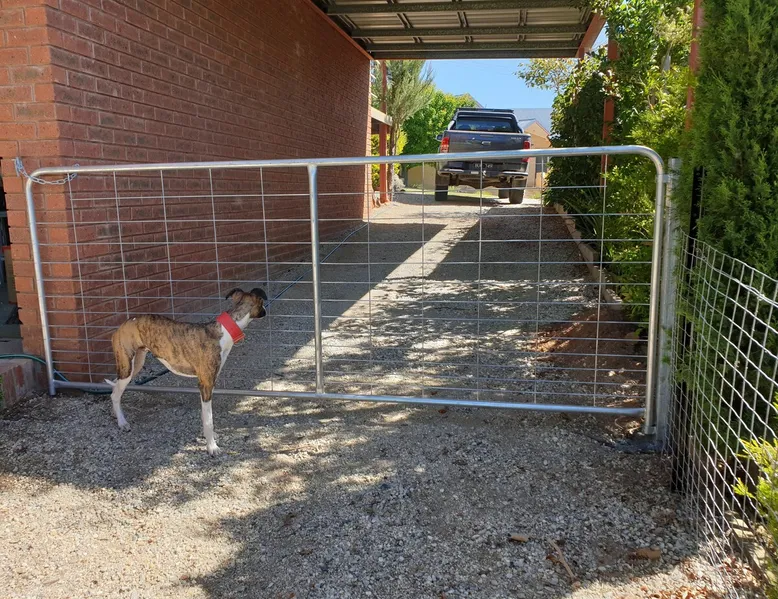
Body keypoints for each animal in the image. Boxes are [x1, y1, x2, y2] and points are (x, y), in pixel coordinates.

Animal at [105, 287, 267, 456]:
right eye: (262, 303)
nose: (266, 311)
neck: (223, 332)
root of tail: (122, 325)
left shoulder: (208, 384)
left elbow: (204, 415)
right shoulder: (206, 384)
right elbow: (209, 419)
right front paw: (212, 447)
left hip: (134, 364)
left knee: (115, 389)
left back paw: (116, 414)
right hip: (127, 366)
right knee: (116, 393)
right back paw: (122, 422)